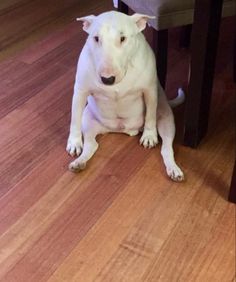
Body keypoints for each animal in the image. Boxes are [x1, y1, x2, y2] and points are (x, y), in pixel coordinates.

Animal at [66, 10, 184, 181]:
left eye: (123, 38)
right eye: (96, 38)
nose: (107, 79)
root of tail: (121, 129)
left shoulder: (149, 90)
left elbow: (150, 116)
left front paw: (149, 136)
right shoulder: (80, 91)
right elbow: (74, 120)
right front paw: (74, 143)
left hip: (166, 118)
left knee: (167, 148)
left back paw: (173, 169)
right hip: (88, 119)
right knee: (91, 145)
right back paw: (79, 163)